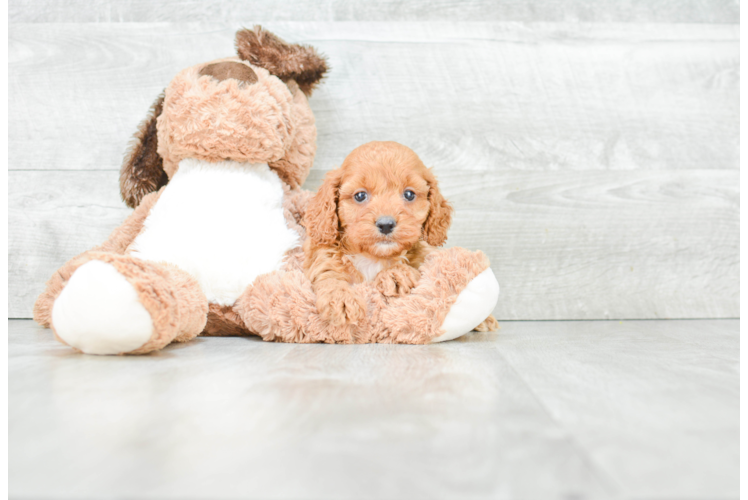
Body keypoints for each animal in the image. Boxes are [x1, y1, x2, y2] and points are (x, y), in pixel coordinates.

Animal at [300, 140, 500, 332]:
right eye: (360, 196)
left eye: (409, 194)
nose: (386, 224)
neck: (373, 257)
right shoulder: (324, 258)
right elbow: (329, 277)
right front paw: (341, 299)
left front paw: (395, 274)